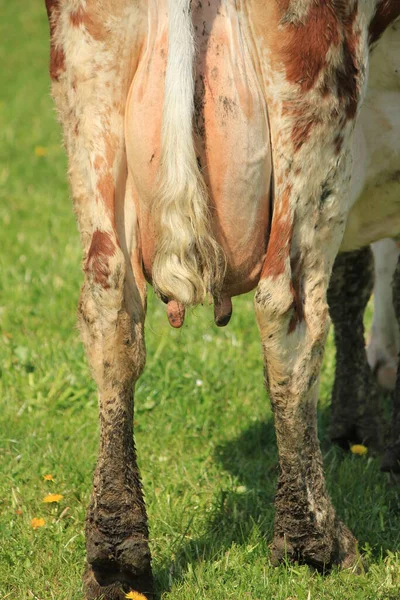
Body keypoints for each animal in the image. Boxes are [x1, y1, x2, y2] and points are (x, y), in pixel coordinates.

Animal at [45, 1, 400, 600]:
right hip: (316, 102)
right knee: (290, 314)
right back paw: (314, 539)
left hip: (88, 80)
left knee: (110, 309)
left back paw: (116, 553)